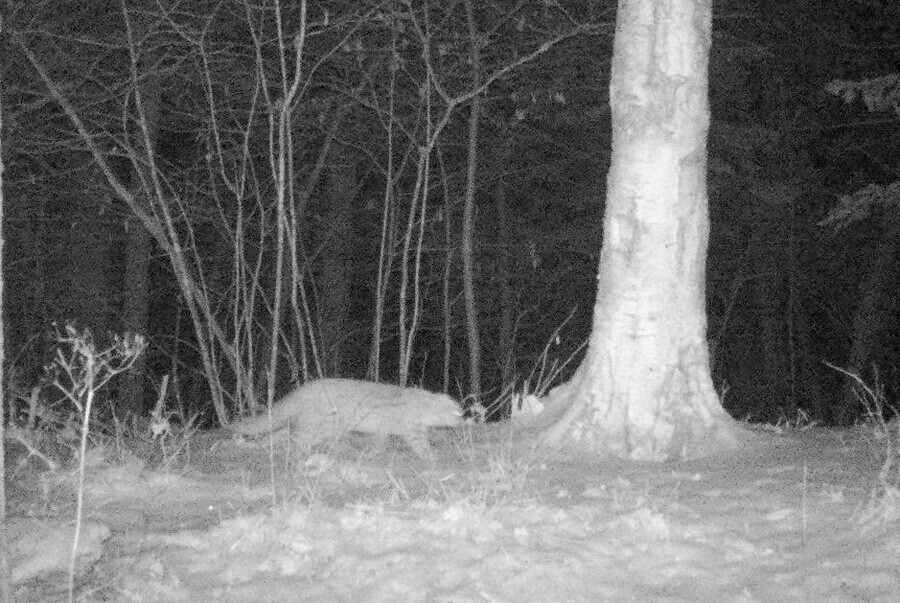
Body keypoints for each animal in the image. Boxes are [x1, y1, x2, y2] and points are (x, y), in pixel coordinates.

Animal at [230, 378, 464, 458]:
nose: (463, 419)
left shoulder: (386, 429)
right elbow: (420, 445)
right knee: (297, 437)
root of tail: (305, 388)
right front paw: (432, 457)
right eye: (454, 411)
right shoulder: (409, 429)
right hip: (321, 425)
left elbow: (380, 443)